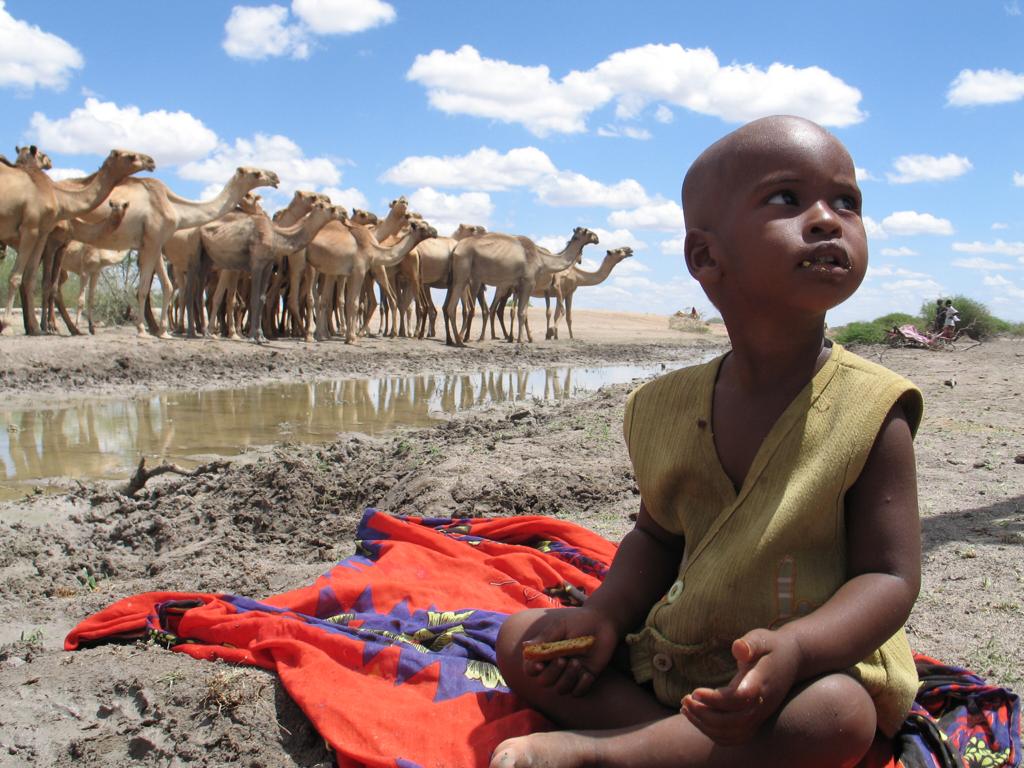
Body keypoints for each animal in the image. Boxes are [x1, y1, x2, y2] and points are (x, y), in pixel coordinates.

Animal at [0, 147, 156, 335]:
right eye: (131, 156)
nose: (151, 161)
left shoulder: (45, 235)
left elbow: (34, 280)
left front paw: (37, 326)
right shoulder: (36, 232)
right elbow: (27, 279)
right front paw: (15, 325)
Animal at [74, 166, 280, 338]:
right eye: (256, 173)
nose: (275, 177)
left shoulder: (158, 246)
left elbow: (172, 288)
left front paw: (166, 330)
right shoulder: (162, 246)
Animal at [195, 199, 347, 341]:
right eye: (327, 207)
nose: (343, 212)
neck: (276, 236)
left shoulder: (267, 265)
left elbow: (261, 298)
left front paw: (260, 335)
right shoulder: (256, 263)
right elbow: (254, 298)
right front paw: (253, 335)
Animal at [307, 218, 437, 343]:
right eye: (422, 227)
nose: (435, 232)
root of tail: (417, 252)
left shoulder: (346, 272)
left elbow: (342, 302)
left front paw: (342, 335)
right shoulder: (355, 271)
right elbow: (349, 302)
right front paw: (349, 336)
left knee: (394, 300)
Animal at [443, 226, 599, 346]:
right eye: (588, 232)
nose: (597, 238)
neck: (542, 259)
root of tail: (456, 248)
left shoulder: (518, 285)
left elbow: (519, 312)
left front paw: (518, 338)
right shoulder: (528, 282)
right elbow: (522, 312)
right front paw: (521, 340)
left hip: (462, 277)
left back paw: (457, 339)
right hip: (463, 273)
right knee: (452, 307)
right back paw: (460, 341)